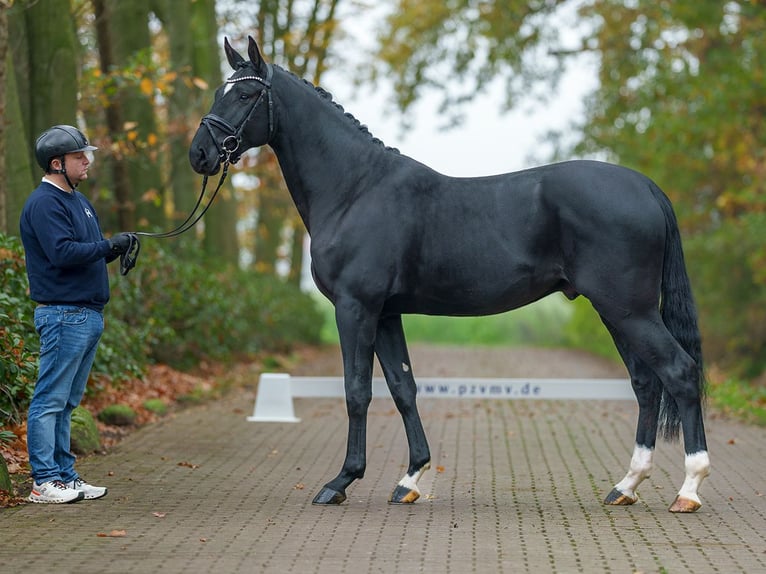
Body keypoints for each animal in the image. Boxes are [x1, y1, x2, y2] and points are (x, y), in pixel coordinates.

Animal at [192, 35, 712, 512]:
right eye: (220, 90)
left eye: (245, 94)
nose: (200, 154)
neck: (356, 189)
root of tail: (644, 186)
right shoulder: (386, 313)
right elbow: (403, 388)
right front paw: (410, 478)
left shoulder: (355, 308)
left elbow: (357, 390)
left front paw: (340, 481)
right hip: (617, 313)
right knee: (646, 384)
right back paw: (626, 486)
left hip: (630, 310)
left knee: (680, 373)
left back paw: (689, 489)